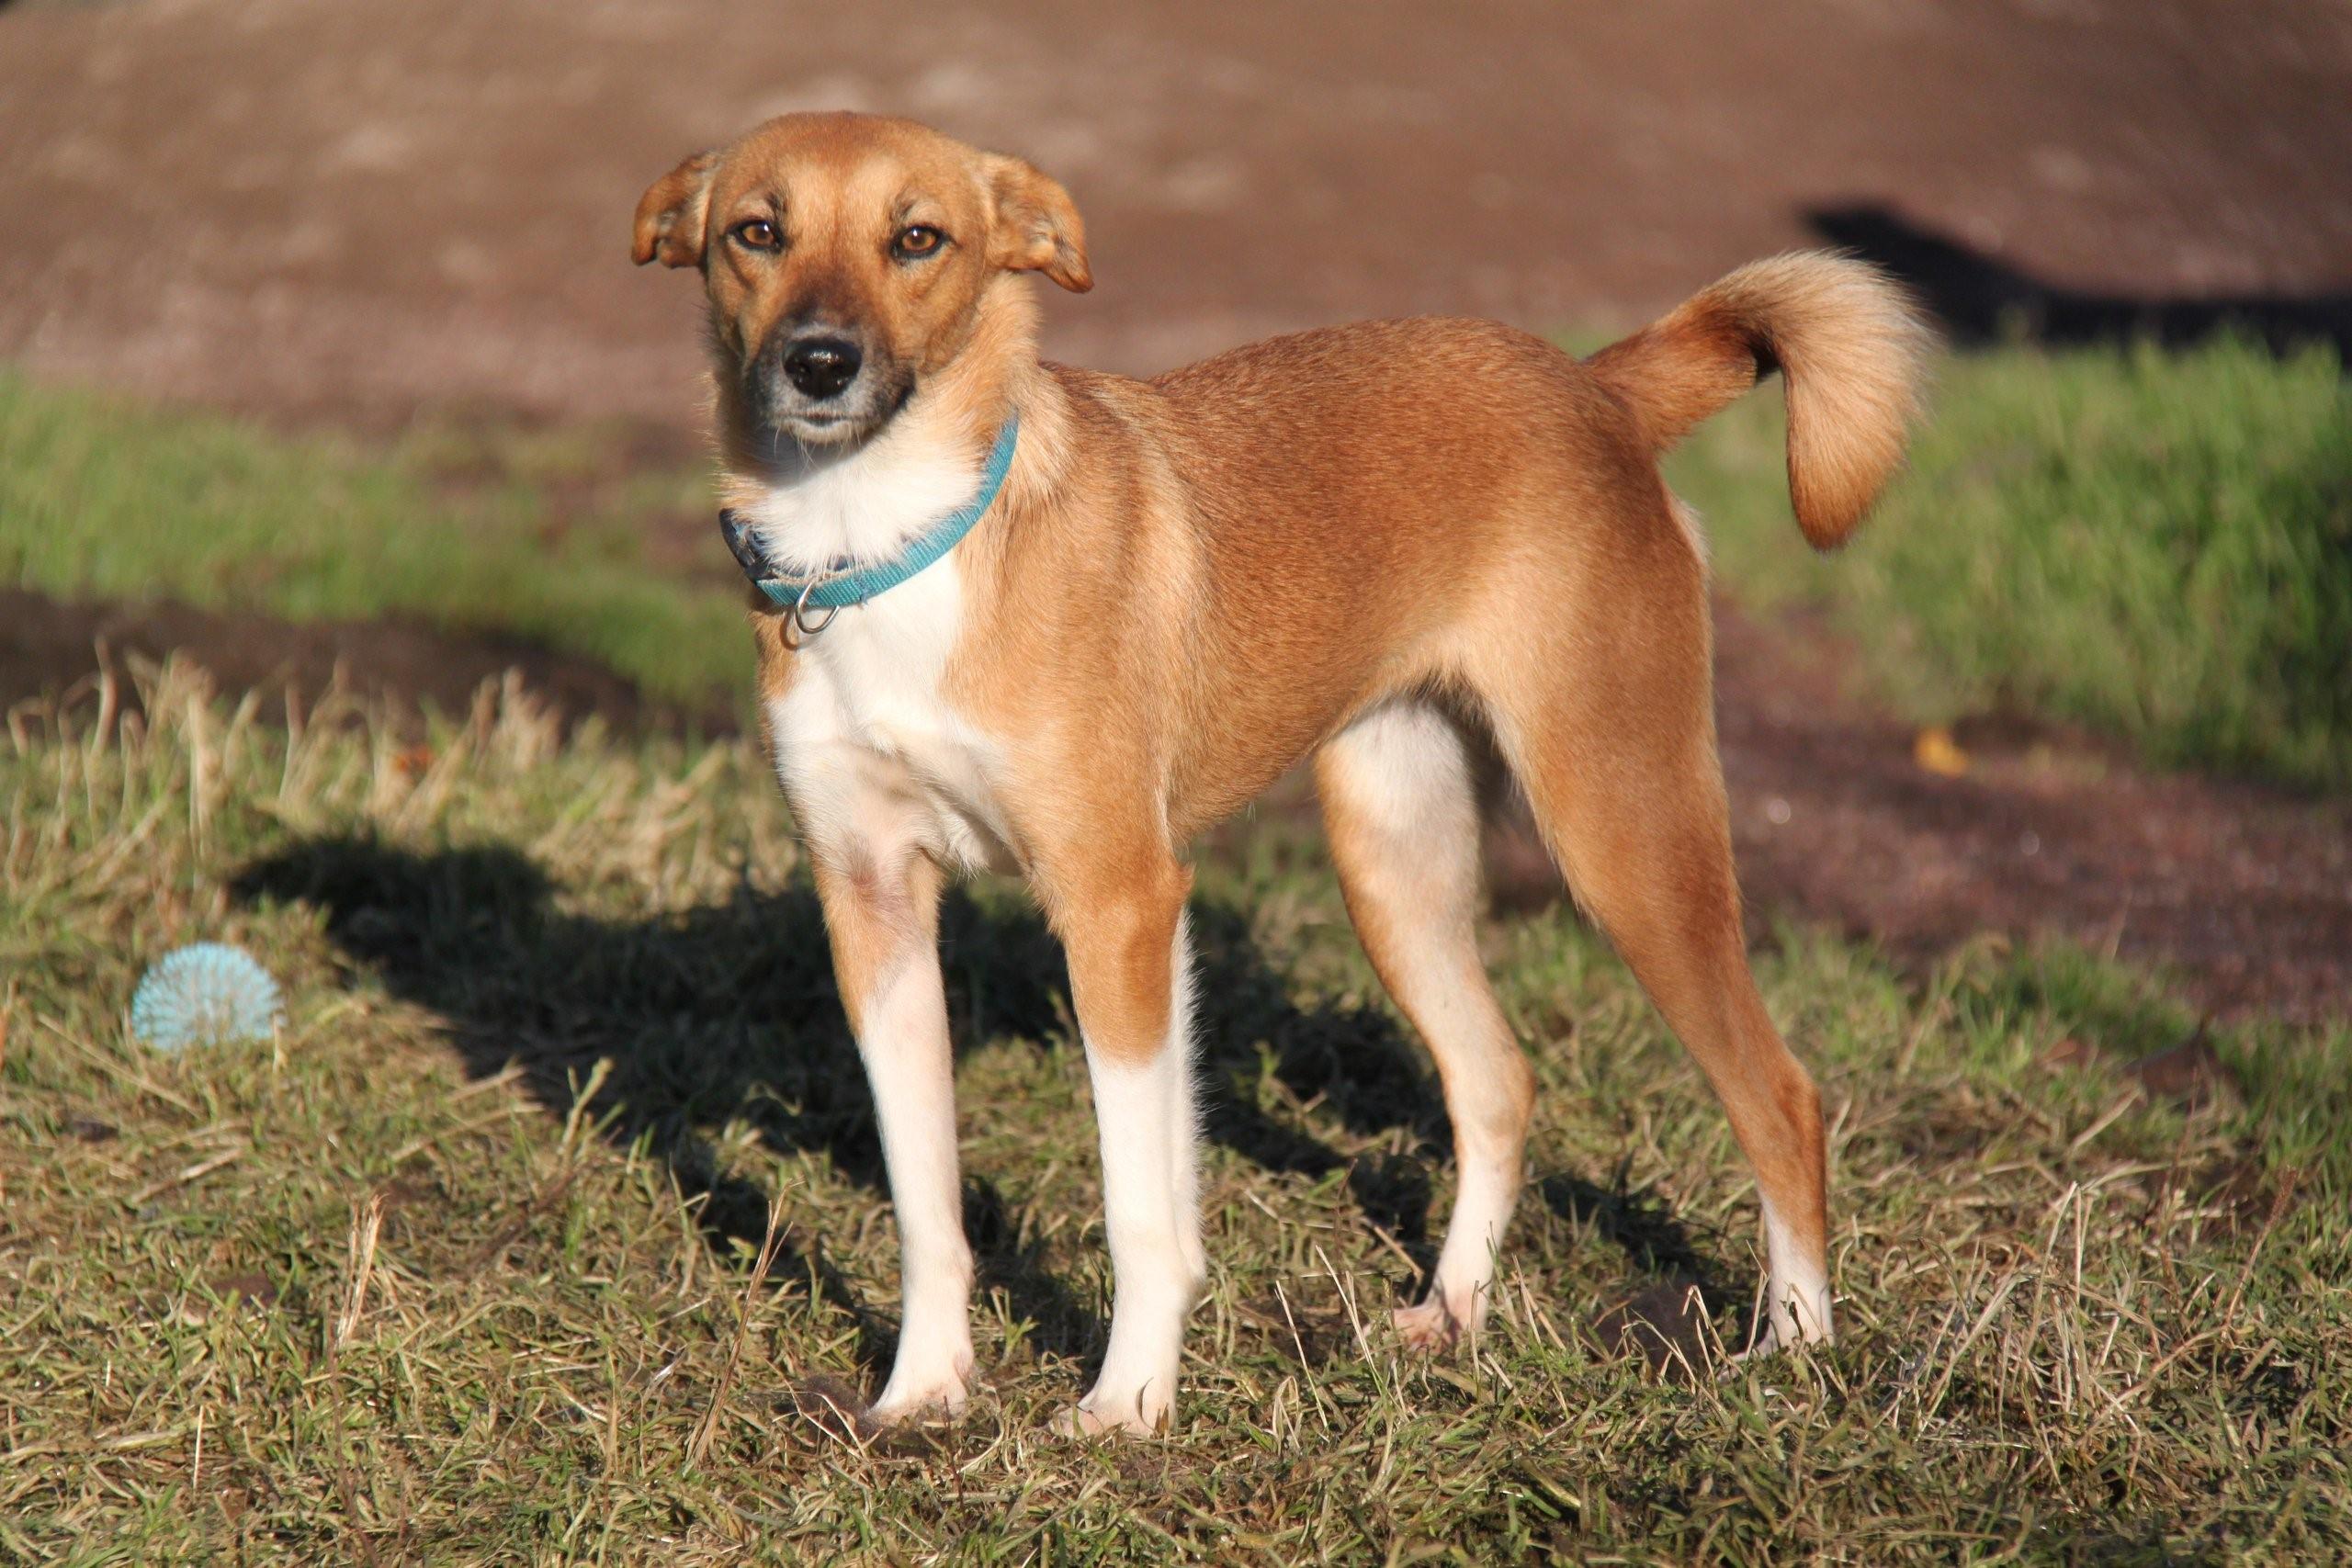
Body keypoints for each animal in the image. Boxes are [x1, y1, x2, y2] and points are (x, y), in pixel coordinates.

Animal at [630, 110, 1928, 1438]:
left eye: (918, 239)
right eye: (757, 232)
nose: (819, 364)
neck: (886, 544)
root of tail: (1596, 388)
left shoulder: (1117, 903)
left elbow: (1138, 1206)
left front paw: (1128, 1405)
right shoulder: (875, 904)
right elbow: (928, 1199)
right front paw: (923, 1391)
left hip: (1625, 833)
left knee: (1780, 1098)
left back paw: (1794, 1351)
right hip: (1393, 861)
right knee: (1496, 1082)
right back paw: (1454, 1312)